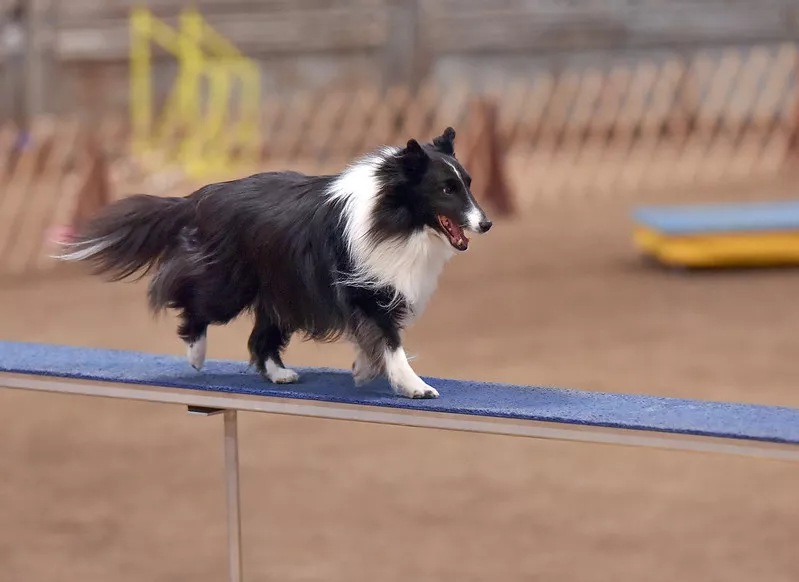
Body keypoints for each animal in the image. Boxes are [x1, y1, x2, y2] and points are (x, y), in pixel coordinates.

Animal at [56, 126, 490, 402]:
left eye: (468, 183)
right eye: (446, 189)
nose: (486, 223)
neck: (394, 213)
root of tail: (198, 197)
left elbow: (376, 339)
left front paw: (365, 370)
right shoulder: (364, 287)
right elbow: (390, 340)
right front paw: (415, 386)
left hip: (282, 290)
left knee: (259, 336)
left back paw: (280, 373)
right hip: (230, 285)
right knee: (192, 303)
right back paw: (196, 355)